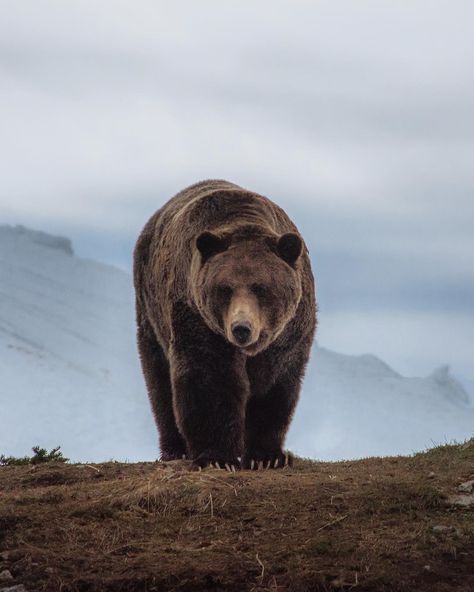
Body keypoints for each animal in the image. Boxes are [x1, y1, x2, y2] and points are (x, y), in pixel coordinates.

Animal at [133, 178, 316, 470]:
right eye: (225, 288)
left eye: (261, 288)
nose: (241, 328)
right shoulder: (199, 318)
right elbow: (210, 378)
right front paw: (217, 457)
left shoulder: (288, 333)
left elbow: (274, 385)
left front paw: (266, 456)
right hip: (151, 308)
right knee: (158, 377)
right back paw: (175, 449)